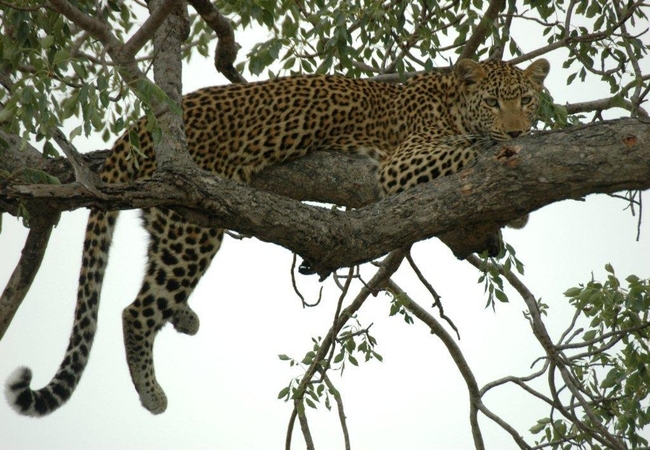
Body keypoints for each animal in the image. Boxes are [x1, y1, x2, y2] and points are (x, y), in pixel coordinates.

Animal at [6, 58, 548, 416]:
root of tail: (137, 128)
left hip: (176, 219)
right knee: (135, 310)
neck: (453, 102)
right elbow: (468, 151)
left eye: (526, 100)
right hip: (193, 223)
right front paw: (499, 160)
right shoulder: (401, 162)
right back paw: (151, 391)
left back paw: (183, 317)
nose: (519, 134)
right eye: (494, 102)